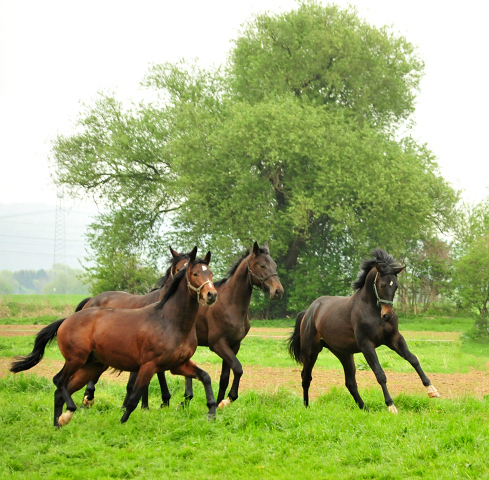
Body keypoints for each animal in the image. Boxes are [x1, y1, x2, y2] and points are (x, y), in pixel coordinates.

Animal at [126, 244, 284, 408]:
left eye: (274, 265)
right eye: (262, 265)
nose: (278, 291)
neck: (230, 303)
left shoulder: (234, 345)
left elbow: (225, 377)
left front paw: (219, 402)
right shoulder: (218, 344)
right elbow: (238, 368)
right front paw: (229, 398)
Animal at [288, 248, 440, 412]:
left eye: (396, 286)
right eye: (381, 285)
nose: (387, 315)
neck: (372, 310)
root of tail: (309, 311)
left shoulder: (394, 338)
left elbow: (413, 359)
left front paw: (432, 390)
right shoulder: (367, 345)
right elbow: (380, 374)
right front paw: (391, 406)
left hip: (344, 354)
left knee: (350, 383)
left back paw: (364, 409)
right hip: (311, 351)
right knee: (306, 377)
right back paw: (306, 406)